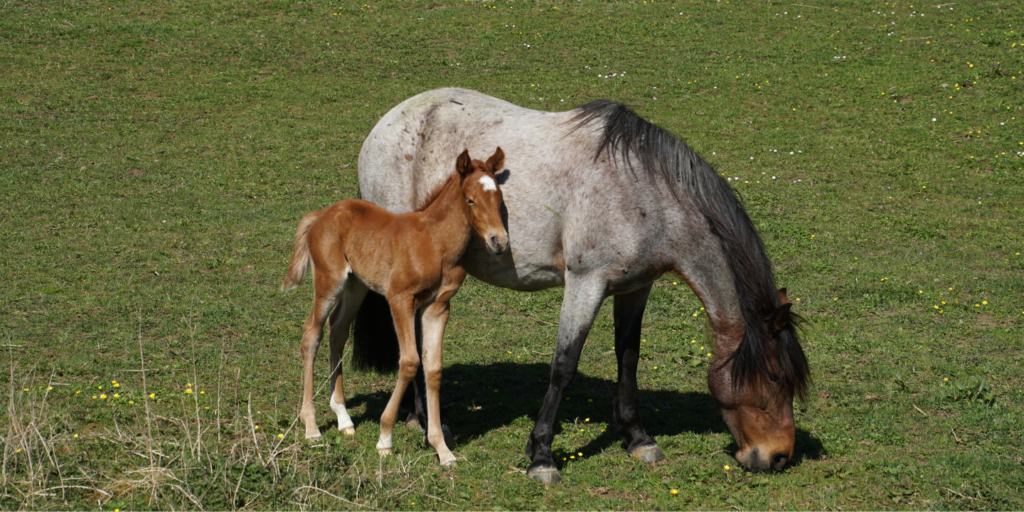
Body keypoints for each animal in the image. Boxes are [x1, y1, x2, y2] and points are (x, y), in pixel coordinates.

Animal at [280, 147, 507, 464]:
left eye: (499, 198)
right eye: (470, 199)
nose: (499, 241)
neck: (435, 243)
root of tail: (321, 215)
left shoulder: (438, 306)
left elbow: (433, 369)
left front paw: (442, 449)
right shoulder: (400, 298)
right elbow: (410, 361)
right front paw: (385, 438)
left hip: (356, 286)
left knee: (337, 330)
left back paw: (343, 417)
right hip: (329, 281)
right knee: (312, 333)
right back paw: (311, 427)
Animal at [352, 89, 806, 483]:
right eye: (774, 376)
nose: (779, 457)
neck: (643, 193)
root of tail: (384, 124)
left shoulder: (635, 288)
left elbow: (628, 357)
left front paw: (638, 438)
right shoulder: (586, 283)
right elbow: (564, 366)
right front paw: (541, 457)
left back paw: (419, 418)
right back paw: (426, 422)